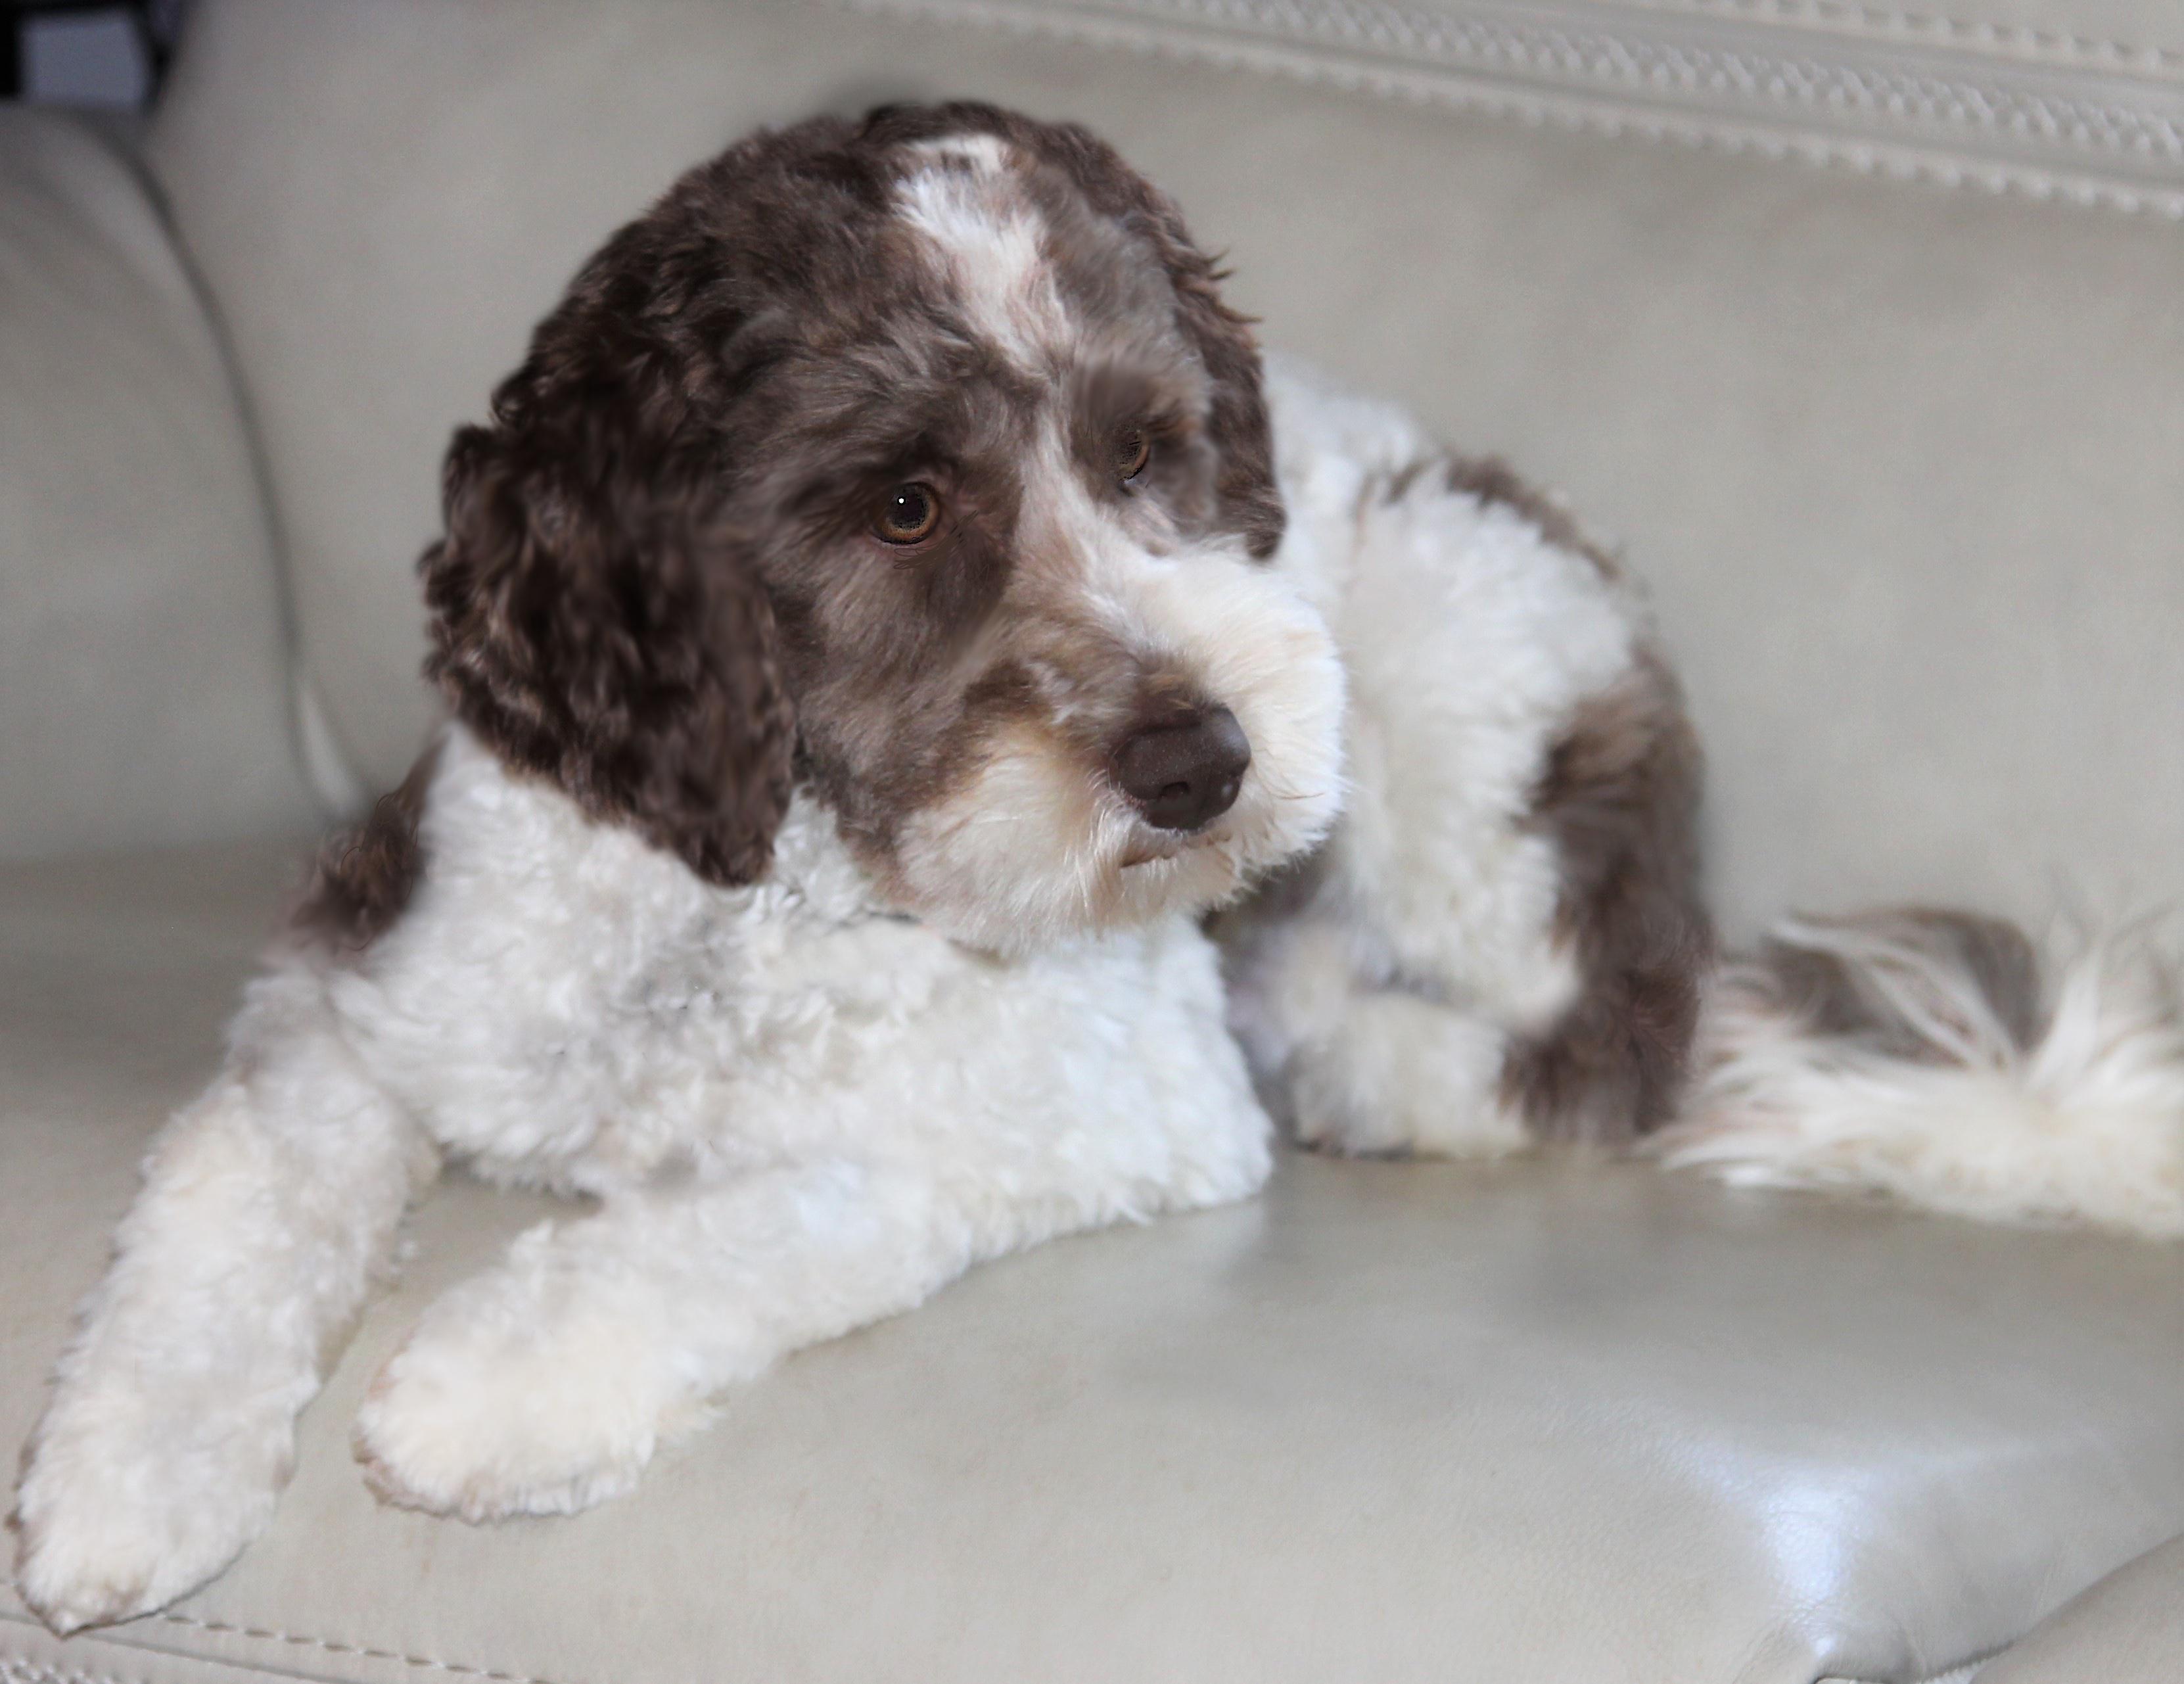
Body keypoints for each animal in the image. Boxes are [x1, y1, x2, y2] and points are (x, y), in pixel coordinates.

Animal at [16, 100, 2183, 1635]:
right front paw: (123, 1486)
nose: (1201, 763)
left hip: (1454, 666)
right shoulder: (375, 973)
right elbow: (233, 1187)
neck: (766, 890)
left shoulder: (1092, 1103)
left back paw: (1372, 1065)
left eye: (1150, 452)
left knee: (1610, 1037)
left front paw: (490, 1389)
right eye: (902, 502)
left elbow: (780, 1203)